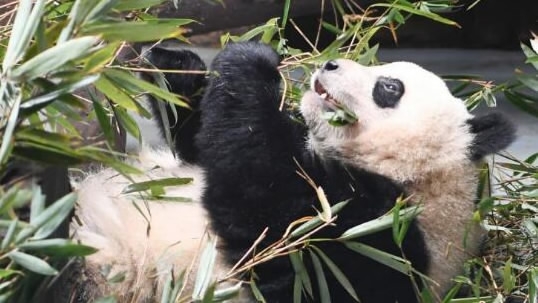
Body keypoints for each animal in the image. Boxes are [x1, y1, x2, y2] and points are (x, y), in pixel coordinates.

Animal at [69, 41, 512, 303]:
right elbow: (205, 142)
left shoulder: (379, 240)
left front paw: (250, 63)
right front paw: (173, 63)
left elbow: (268, 206)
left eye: (389, 87)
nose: (329, 64)